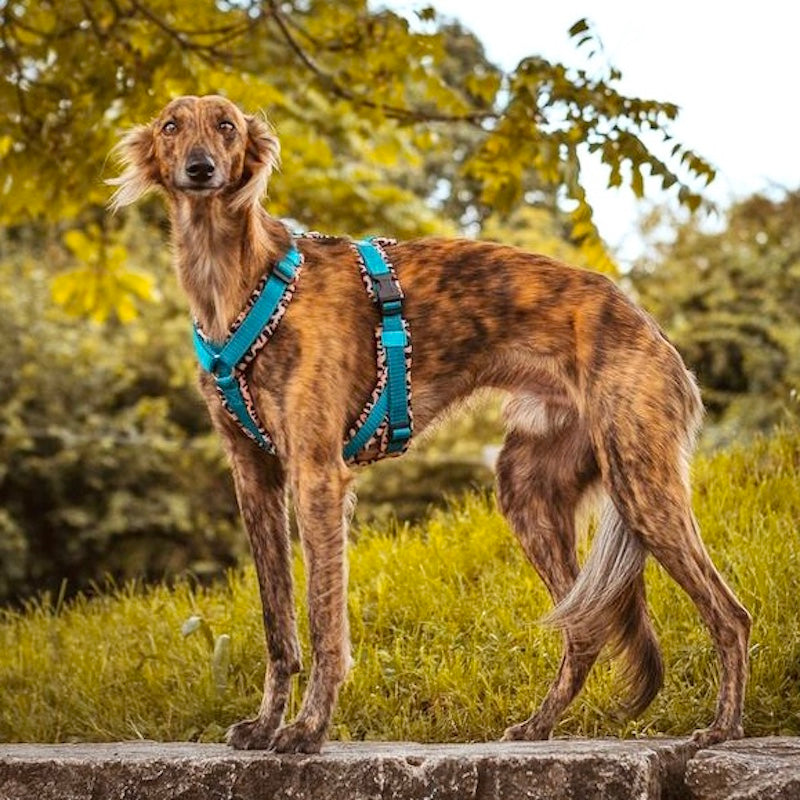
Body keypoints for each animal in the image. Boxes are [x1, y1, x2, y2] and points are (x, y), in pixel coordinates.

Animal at [108, 97, 752, 752]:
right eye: (171, 126)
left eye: (227, 127)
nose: (201, 169)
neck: (236, 280)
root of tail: (650, 326)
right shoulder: (254, 477)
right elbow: (278, 625)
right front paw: (266, 724)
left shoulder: (317, 475)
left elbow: (323, 622)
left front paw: (308, 729)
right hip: (529, 491)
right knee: (585, 627)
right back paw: (538, 725)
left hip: (640, 483)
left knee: (730, 615)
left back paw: (722, 727)